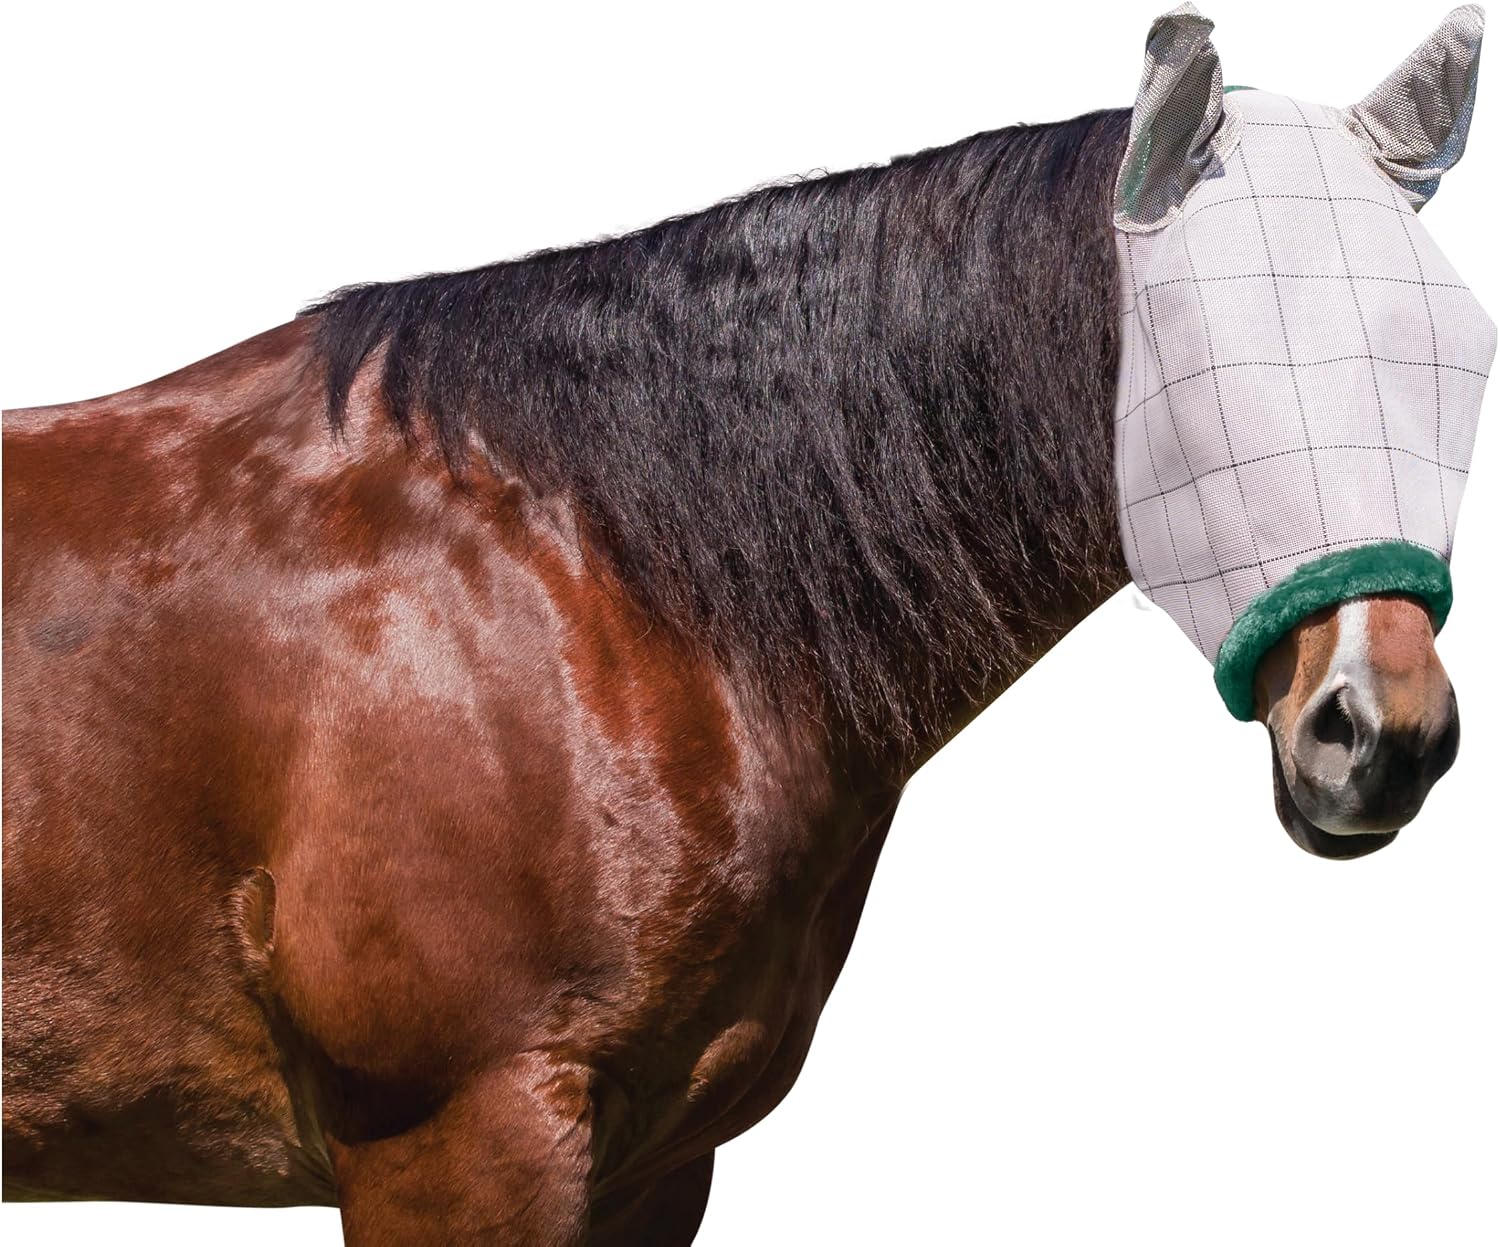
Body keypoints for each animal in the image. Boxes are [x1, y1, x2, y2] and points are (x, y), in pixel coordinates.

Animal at [3, 6, 1491, 1243]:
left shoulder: (655, 1163)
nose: (1385, 731)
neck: (588, 580)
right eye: (1199, 346)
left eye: (1459, 350)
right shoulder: (452, 1139)